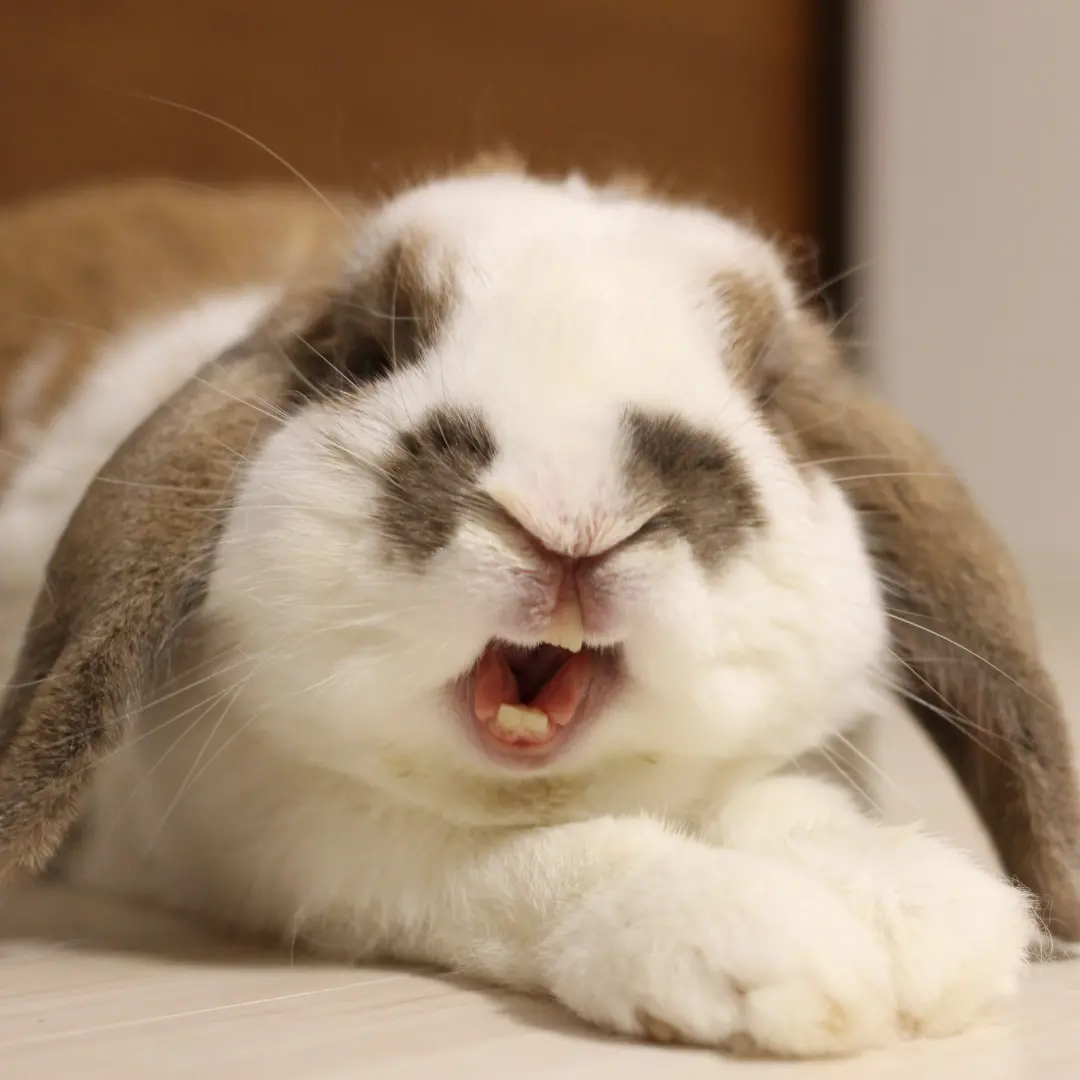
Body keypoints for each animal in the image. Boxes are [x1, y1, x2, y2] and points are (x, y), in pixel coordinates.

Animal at [0, 156, 1078, 1058]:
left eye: (769, 388)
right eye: (367, 352)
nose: (571, 513)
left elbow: (776, 803)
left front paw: (915, 909)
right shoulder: (293, 841)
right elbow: (535, 859)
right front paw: (754, 944)